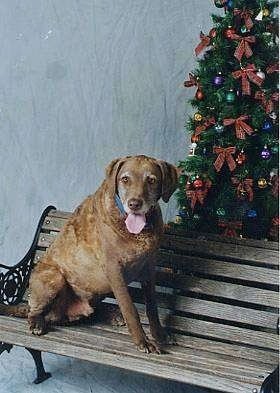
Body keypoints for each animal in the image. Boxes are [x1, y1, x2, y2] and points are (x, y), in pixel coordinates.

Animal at [24, 155, 177, 354]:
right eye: (125, 179)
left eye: (151, 180)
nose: (134, 204)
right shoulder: (114, 270)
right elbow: (130, 308)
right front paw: (143, 341)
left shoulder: (149, 268)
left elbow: (152, 307)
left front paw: (159, 335)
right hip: (53, 277)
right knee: (35, 311)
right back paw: (37, 323)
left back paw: (111, 315)